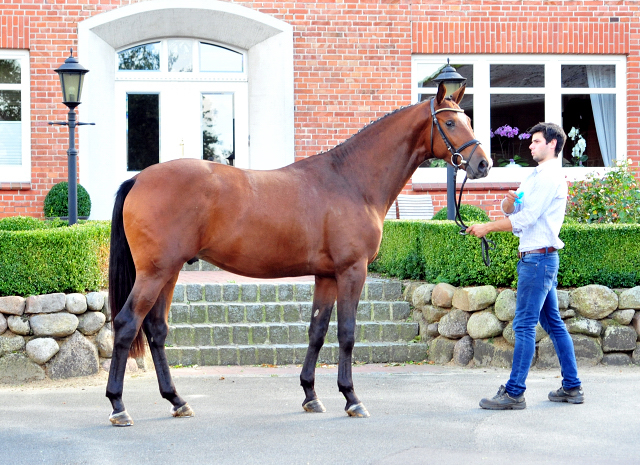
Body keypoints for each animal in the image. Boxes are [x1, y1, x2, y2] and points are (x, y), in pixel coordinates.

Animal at [107, 82, 492, 424]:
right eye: (450, 123)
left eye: (469, 120)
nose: (483, 165)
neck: (351, 180)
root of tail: (139, 179)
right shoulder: (352, 271)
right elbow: (347, 333)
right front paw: (352, 398)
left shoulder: (326, 275)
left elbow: (317, 331)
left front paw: (311, 395)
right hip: (155, 272)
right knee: (126, 324)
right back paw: (118, 406)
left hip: (168, 272)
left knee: (156, 329)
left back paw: (177, 400)